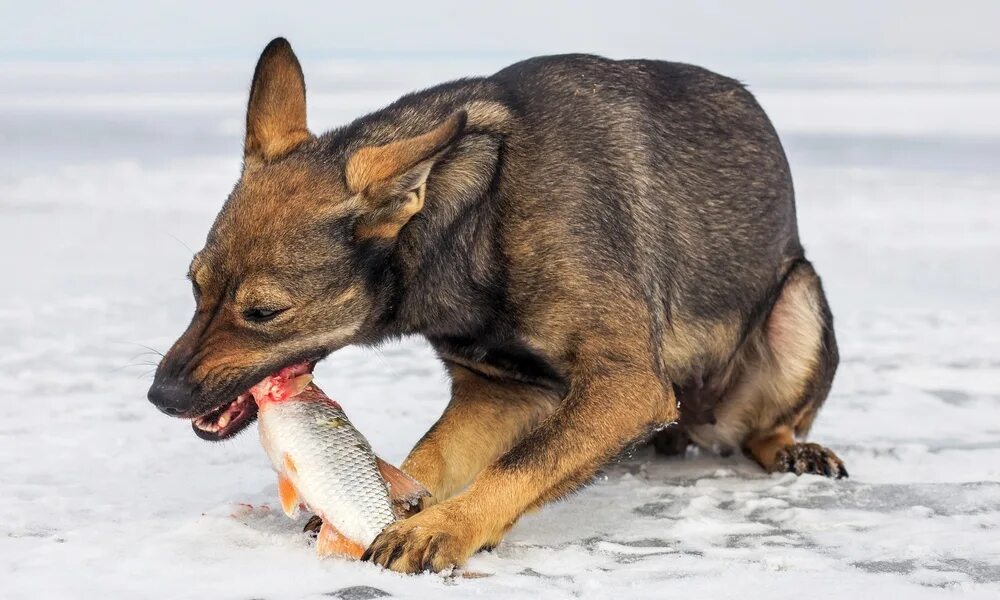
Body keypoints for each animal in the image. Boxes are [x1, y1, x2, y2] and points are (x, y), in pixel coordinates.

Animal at [148, 36, 848, 572]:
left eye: (264, 313)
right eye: (194, 286)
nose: (160, 395)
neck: (477, 217)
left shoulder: (626, 386)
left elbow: (522, 465)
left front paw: (442, 528)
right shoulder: (498, 391)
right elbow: (434, 457)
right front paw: (403, 506)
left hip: (800, 302)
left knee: (762, 428)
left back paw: (795, 450)